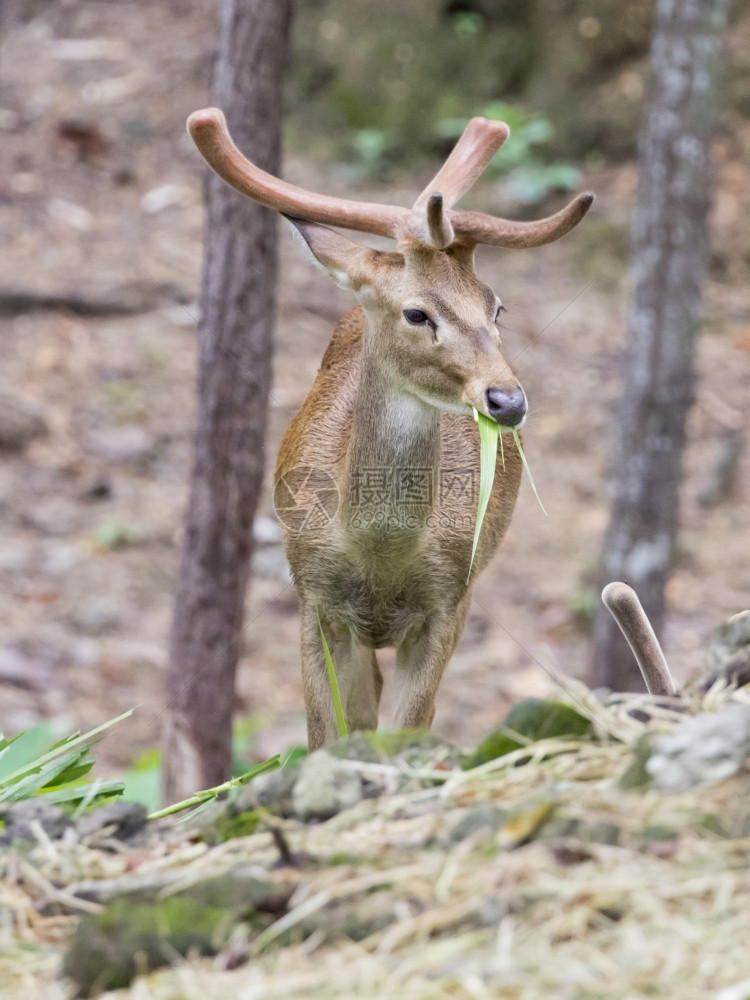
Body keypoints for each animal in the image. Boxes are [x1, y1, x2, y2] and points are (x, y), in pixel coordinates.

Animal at [187, 109, 592, 752]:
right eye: (417, 313)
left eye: (496, 308)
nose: (506, 401)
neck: (380, 556)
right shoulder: (313, 597)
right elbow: (328, 734)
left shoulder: (450, 599)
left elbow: (407, 728)